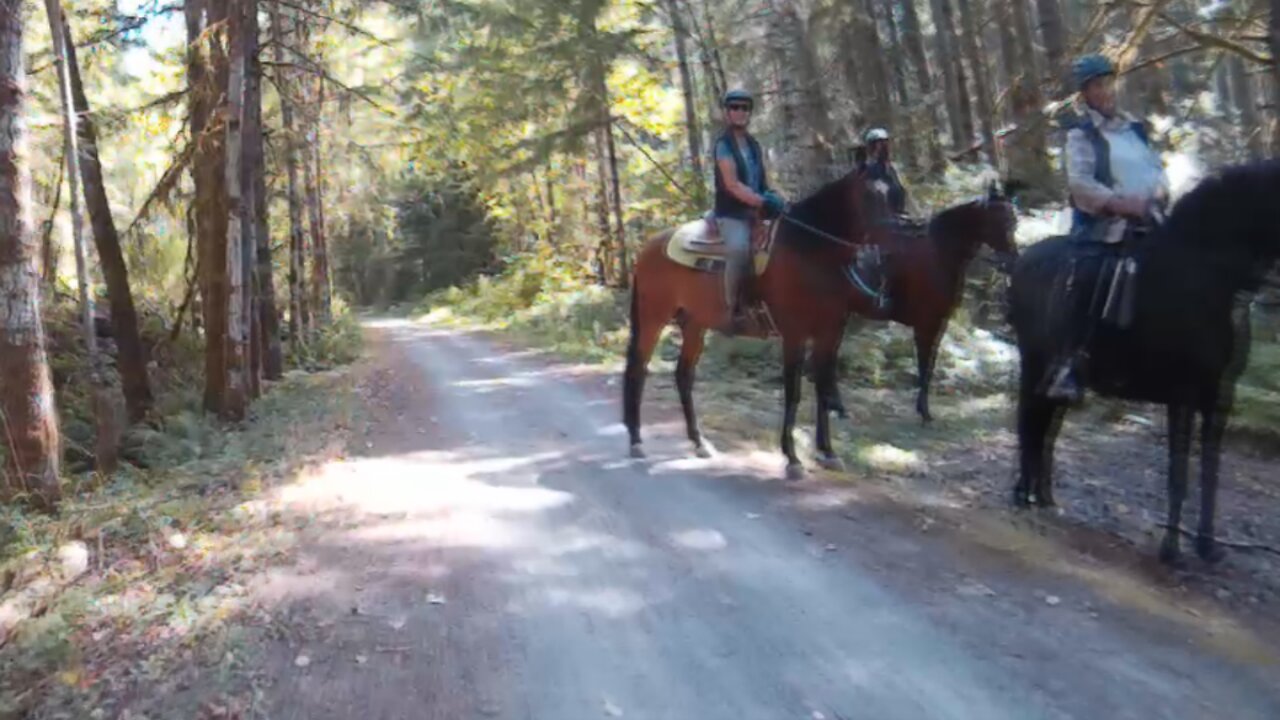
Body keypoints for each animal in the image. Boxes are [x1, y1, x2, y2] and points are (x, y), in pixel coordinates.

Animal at [622, 167, 885, 476]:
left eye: (897, 189)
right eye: (872, 194)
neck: (809, 250)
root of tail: (647, 249)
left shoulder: (829, 335)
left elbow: (822, 388)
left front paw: (828, 453)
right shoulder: (794, 335)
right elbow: (793, 392)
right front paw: (792, 459)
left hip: (695, 325)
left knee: (683, 376)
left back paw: (699, 442)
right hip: (653, 318)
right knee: (637, 370)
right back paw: (636, 440)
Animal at [1008, 158, 1280, 566]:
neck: (1207, 279)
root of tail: (1025, 259)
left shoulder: (1219, 399)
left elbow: (1210, 473)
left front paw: (1207, 546)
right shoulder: (1183, 394)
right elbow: (1178, 472)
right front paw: (1171, 550)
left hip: (1054, 378)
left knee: (1047, 428)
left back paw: (1043, 497)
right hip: (1034, 361)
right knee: (1028, 421)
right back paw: (1021, 495)